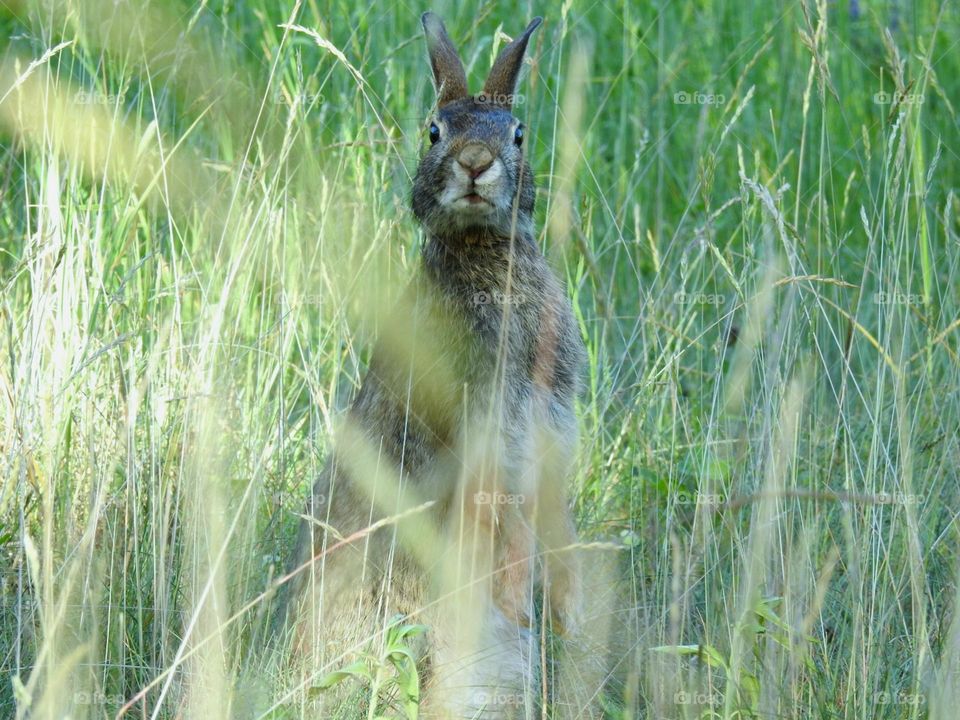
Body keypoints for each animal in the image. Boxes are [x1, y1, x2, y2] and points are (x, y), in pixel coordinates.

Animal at [282, 14, 588, 716]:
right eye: (433, 131)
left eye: (519, 134)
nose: (475, 164)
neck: (480, 248)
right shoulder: (484, 426)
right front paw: (523, 601)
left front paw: (564, 608)